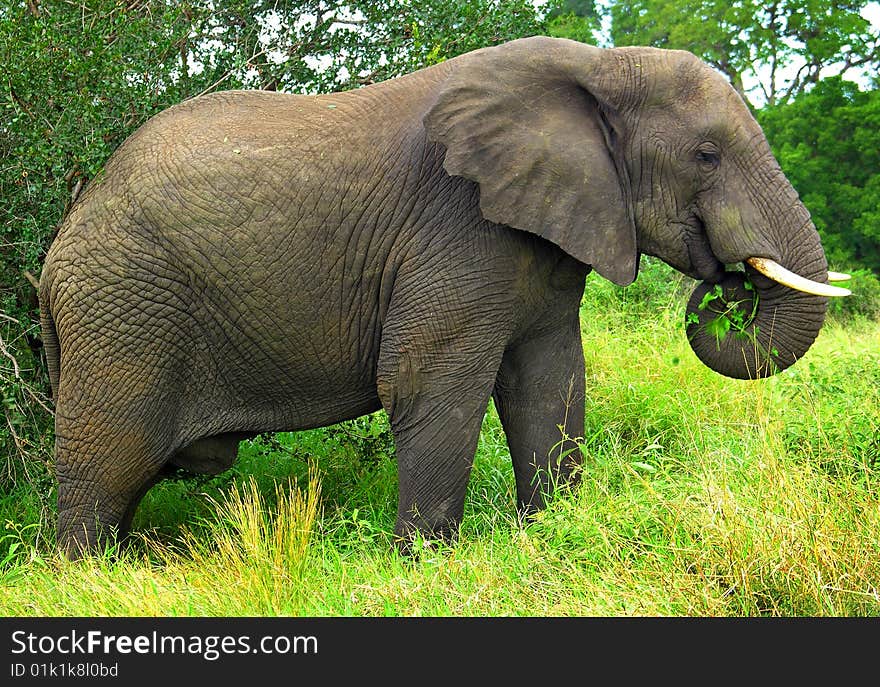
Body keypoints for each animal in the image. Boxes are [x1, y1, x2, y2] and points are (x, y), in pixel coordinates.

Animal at [37, 35, 848, 556]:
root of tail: (63, 234)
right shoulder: (455, 228)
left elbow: (550, 383)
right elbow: (429, 382)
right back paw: (85, 576)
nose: (728, 284)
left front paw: (549, 534)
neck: (596, 66)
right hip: (123, 309)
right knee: (107, 462)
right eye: (706, 155)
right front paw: (423, 564)